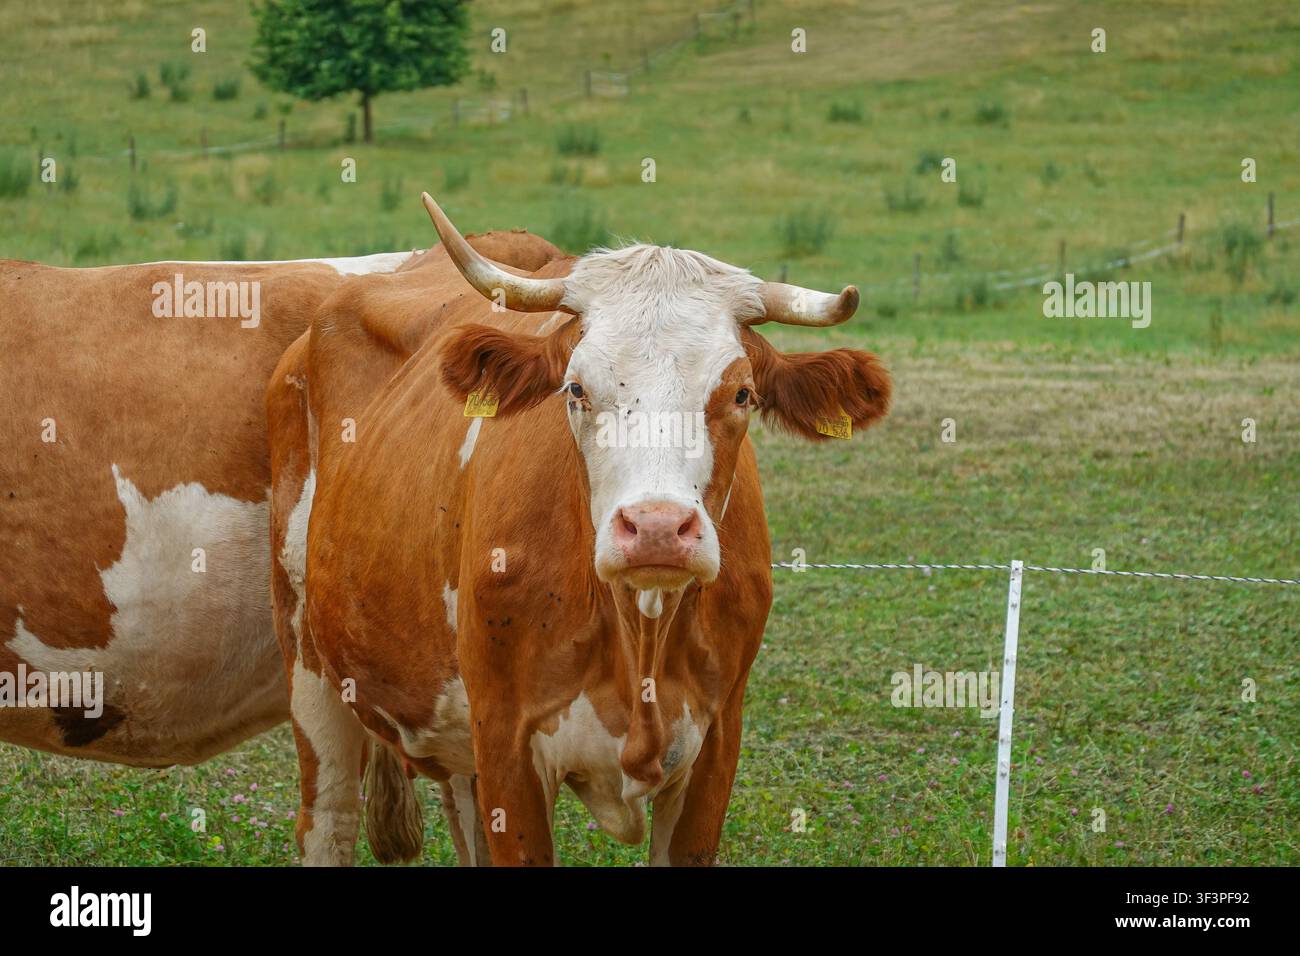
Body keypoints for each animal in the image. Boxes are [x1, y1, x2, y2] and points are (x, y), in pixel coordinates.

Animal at [268, 195, 891, 866]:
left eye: (743, 393)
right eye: (575, 388)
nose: (656, 529)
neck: (638, 637)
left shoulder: (717, 745)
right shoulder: (508, 747)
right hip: (310, 662)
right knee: (329, 821)